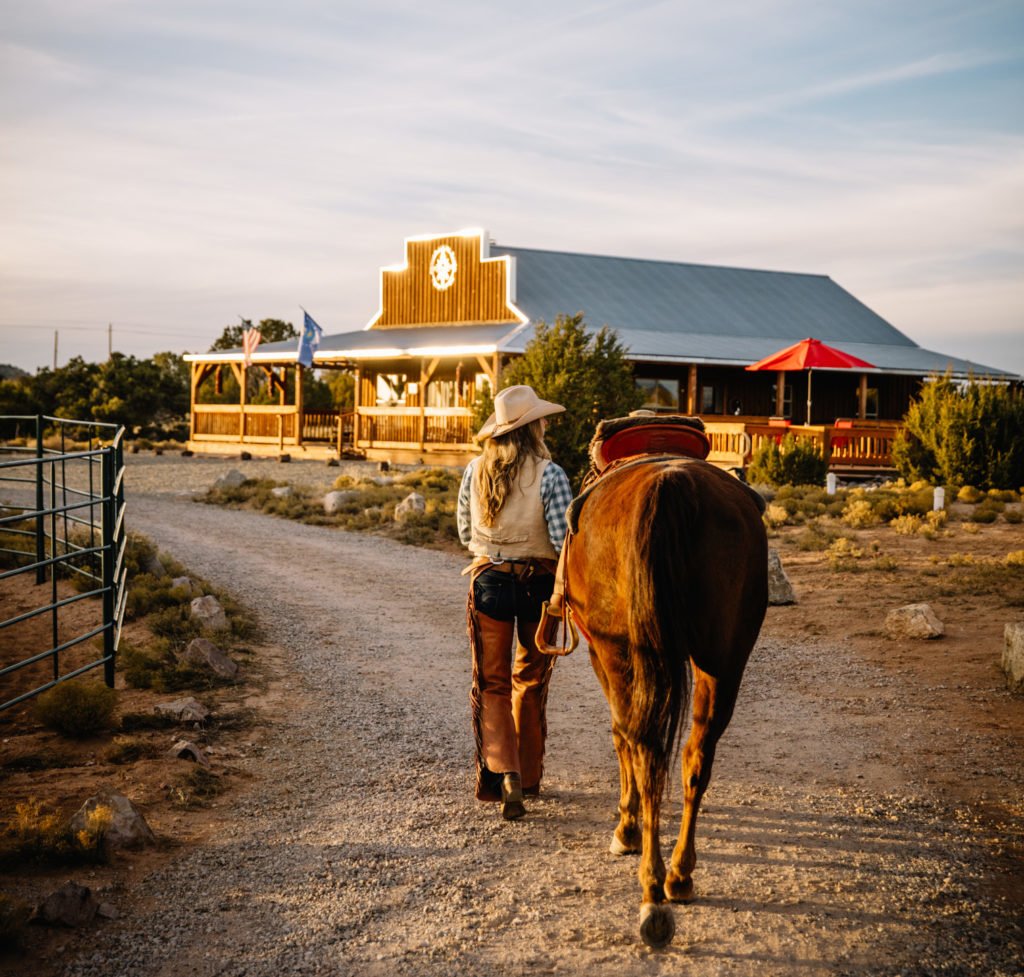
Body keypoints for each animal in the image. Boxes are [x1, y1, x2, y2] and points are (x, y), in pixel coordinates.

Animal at [565, 454, 765, 946]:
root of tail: (671, 485)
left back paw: (651, 892)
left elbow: (620, 736)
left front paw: (626, 826)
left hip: (621, 653)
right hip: (724, 659)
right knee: (696, 757)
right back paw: (679, 875)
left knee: (646, 750)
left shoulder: (601, 655)